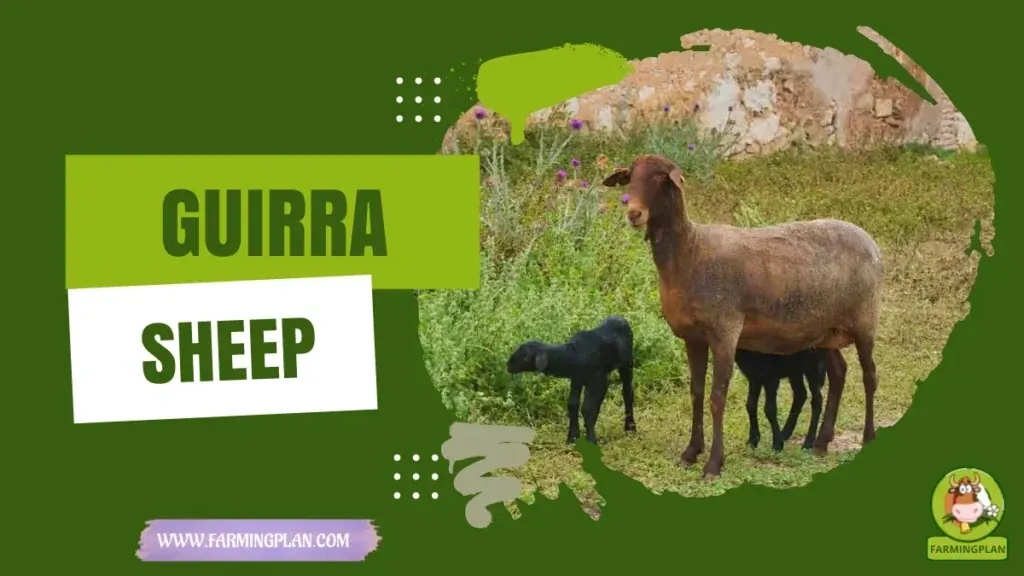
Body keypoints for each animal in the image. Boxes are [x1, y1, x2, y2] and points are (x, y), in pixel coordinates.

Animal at [506, 316, 636, 444]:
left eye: (525, 356)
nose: (508, 365)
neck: (572, 355)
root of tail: (620, 318)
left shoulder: (599, 379)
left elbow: (587, 408)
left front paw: (591, 440)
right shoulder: (577, 379)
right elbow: (573, 404)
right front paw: (572, 437)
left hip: (627, 363)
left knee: (627, 392)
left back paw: (630, 427)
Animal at [602, 154, 883, 478]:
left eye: (660, 177)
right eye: (630, 176)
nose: (634, 213)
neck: (691, 250)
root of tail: (869, 239)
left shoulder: (725, 330)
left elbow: (717, 398)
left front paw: (713, 463)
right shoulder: (693, 337)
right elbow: (697, 393)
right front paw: (690, 452)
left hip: (865, 320)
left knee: (869, 376)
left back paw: (868, 439)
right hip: (827, 330)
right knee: (839, 374)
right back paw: (821, 444)